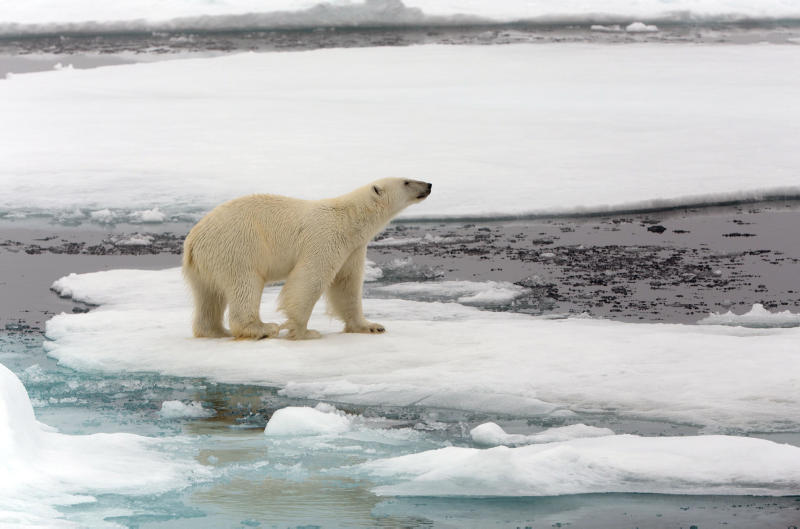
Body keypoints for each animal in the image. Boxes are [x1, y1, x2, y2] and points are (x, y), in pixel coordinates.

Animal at [183, 179, 432, 340]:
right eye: (406, 181)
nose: (429, 185)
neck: (349, 218)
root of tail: (193, 240)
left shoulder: (353, 248)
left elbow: (347, 285)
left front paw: (371, 326)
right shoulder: (326, 237)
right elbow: (310, 279)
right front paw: (304, 331)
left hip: (206, 264)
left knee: (209, 295)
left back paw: (215, 331)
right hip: (237, 247)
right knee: (245, 284)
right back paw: (261, 328)